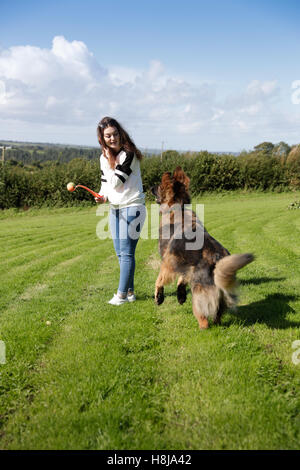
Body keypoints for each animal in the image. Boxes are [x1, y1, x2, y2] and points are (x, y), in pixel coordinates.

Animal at [151, 167, 254, 328]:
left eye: (160, 185)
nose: (150, 188)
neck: (178, 208)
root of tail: (217, 259)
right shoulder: (185, 265)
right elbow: (182, 279)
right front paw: (180, 295)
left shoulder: (167, 262)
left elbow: (160, 279)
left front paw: (159, 297)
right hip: (219, 294)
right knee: (217, 314)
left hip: (198, 293)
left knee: (203, 317)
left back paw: (202, 326)